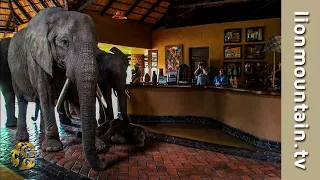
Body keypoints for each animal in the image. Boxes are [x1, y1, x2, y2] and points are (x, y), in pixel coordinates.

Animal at [7, 7, 106, 170]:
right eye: (64, 42)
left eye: (96, 43)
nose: (103, 163)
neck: (59, 14)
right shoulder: (37, 57)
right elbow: (46, 93)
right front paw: (52, 148)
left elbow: (76, 98)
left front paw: (100, 146)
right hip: (14, 73)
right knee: (22, 101)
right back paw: (22, 137)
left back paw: (42, 133)